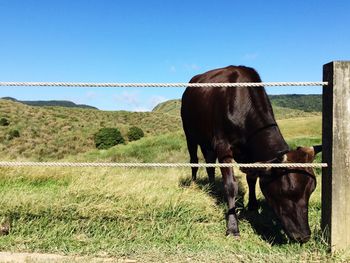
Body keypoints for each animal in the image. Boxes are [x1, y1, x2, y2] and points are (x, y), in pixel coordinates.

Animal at [182, 66, 322, 243]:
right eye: (287, 191)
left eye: (311, 189)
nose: (304, 236)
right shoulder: (222, 146)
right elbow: (230, 186)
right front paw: (232, 228)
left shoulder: (249, 155)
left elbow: (252, 178)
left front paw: (253, 205)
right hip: (190, 134)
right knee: (194, 160)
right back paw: (194, 184)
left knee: (209, 163)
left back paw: (213, 186)